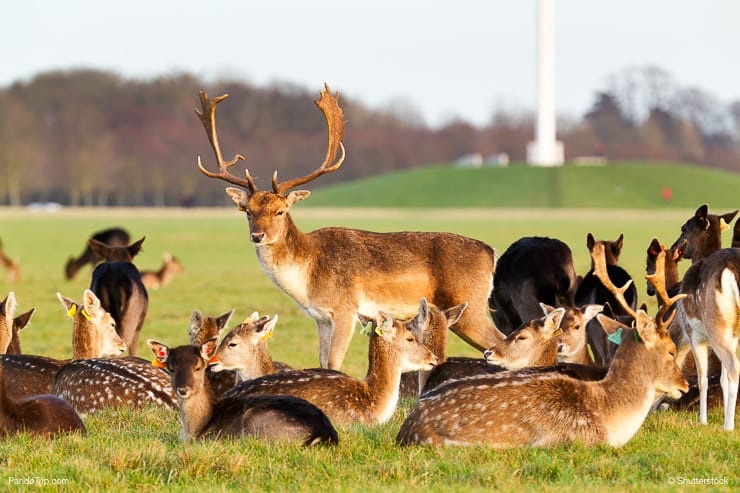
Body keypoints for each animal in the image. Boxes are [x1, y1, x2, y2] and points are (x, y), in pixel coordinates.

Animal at [195, 84, 502, 368]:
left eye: (280, 211)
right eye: (247, 211)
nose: (257, 235)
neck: (308, 276)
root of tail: (491, 252)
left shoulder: (346, 309)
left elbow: (333, 363)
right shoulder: (320, 318)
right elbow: (321, 362)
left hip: (470, 306)